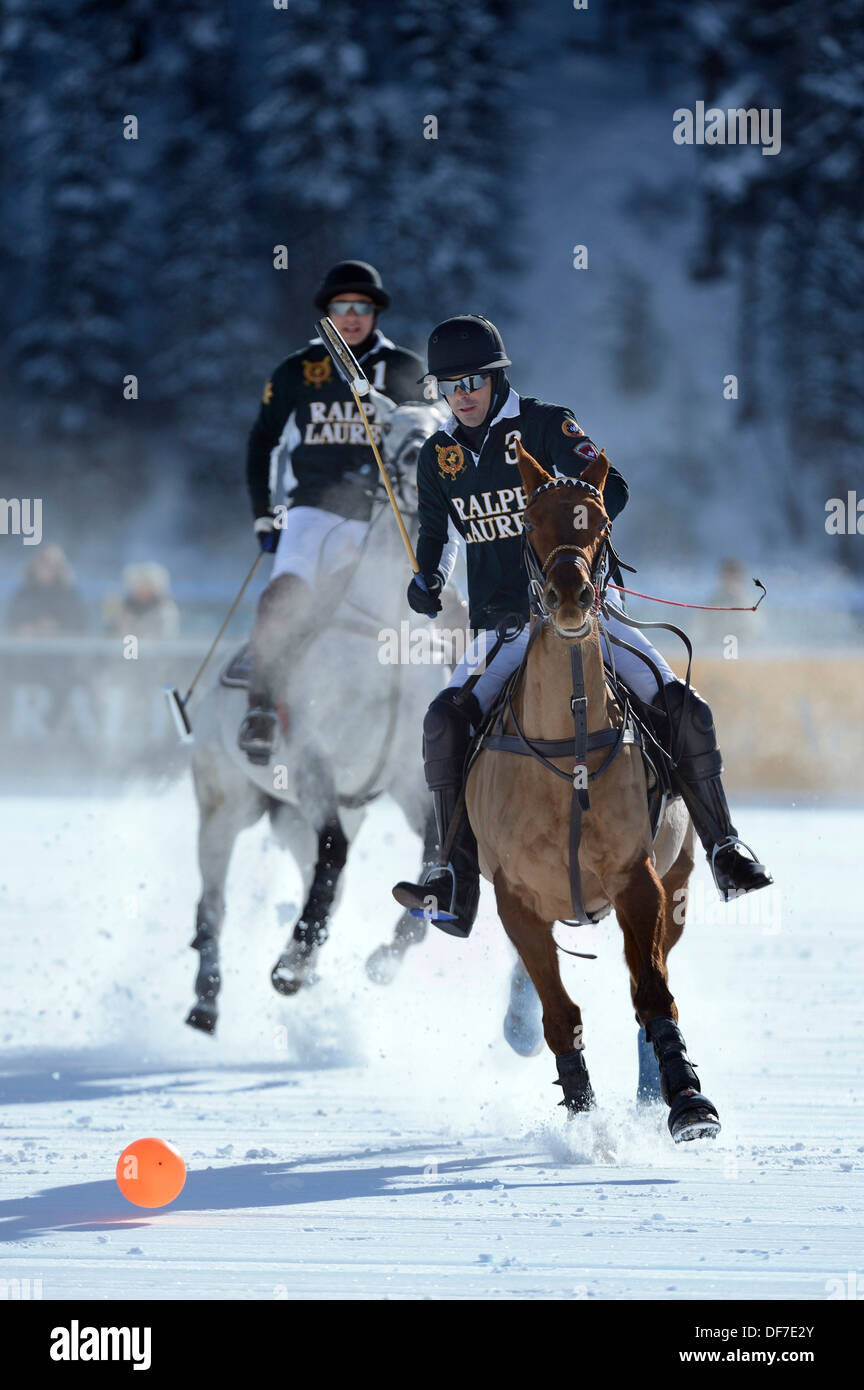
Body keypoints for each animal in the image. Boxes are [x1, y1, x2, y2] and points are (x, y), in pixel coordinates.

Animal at [186, 400, 458, 1034]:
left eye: (445, 425)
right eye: (389, 429)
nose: (424, 464)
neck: (389, 632)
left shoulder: (410, 779)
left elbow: (433, 856)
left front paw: (384, 958)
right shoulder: (311, 761)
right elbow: (334, 853)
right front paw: (289, 966)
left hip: (302, 815)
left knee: (322, 873)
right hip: (224, 804)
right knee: (215, 901)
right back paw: (208, 1000)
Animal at [466, 444, 722, 1139]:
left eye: (600, 522)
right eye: (529, 523)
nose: (572, 595)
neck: (568, 744)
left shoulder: (638, 878)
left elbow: (653, 993)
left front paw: (688, 1099)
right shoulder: (515, 899)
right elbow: (560, 1014)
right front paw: (583, 1116)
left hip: (681, 878)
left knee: (652, 976)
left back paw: (655, 1086)